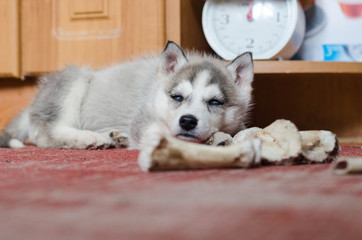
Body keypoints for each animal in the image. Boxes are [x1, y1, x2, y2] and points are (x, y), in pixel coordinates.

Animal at [0, 41, 255, 150]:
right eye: (177, 97)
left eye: (215, 102)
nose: (188, 121)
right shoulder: (142, 122)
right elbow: (160, 133)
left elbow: (240, 130)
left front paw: (223, 136)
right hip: (76, 78)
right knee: (47, 134)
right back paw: (91, 138)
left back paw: (113, 136)